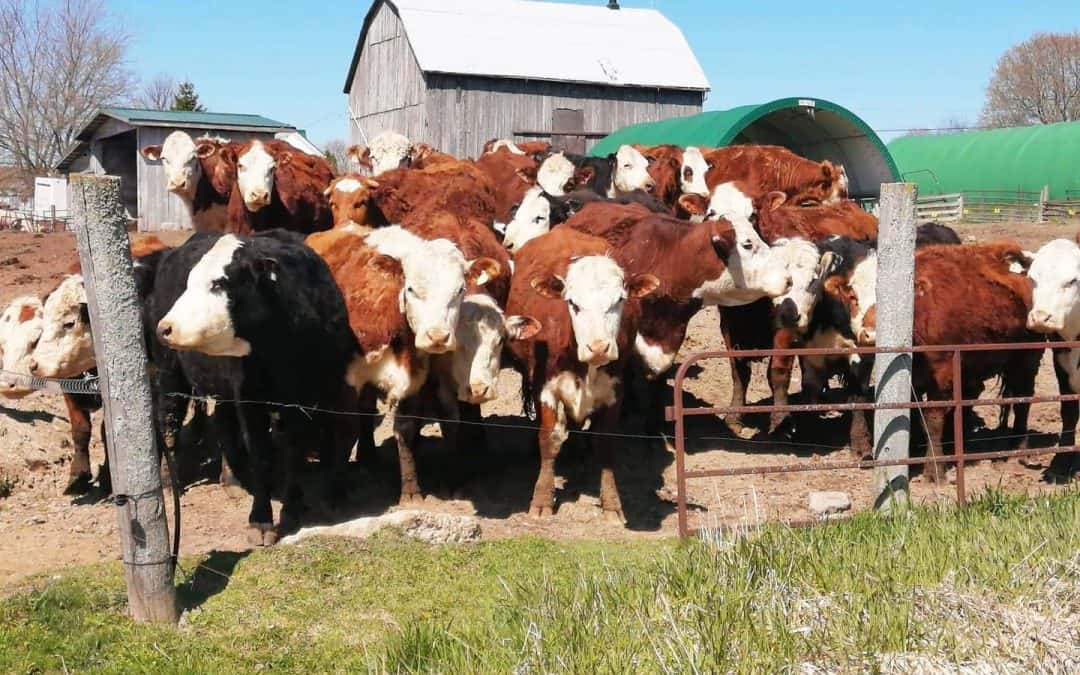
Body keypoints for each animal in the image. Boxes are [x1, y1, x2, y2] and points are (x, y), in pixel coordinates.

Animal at [152, 230, 360, 545]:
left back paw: (232, 479)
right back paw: (168, 480)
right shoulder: (250, 400)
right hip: (170, 372)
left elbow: (294, 452)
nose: (166, 328)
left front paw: (292, 509)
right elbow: (261, 454)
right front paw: (261, 520)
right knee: (169, 420)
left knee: (223, 423)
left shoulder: (304, 402)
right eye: (190, 282)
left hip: (222, 389)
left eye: (218, 283)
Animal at [506, 227, 659, 523]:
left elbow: (606, 445)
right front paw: (541, 500)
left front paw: (611, 505)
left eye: (619, 300)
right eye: (573, 303)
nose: (598, 347)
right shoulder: (546, 388)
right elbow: (549, 439)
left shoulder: (614, 391)